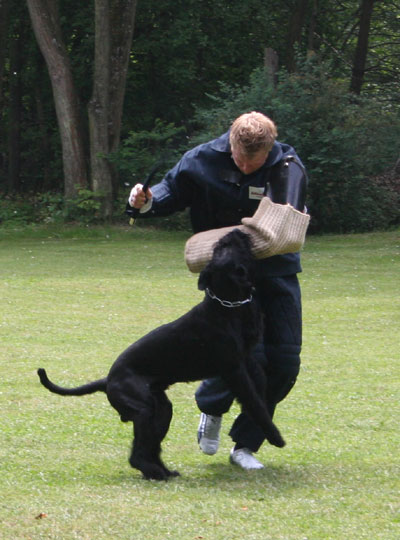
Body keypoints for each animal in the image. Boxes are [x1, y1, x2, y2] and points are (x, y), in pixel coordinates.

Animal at [38, 230, 284, 478]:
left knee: (150, 447)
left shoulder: (246, 359)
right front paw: (275, 436)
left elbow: (259, 388)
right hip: (144, 410)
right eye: (224, 247)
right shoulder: (234, 370)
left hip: (162, 410)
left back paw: (162, 471)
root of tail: (108, 380)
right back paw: (156, 473)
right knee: (138, 453)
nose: (236, 232)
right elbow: (254, 403)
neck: (227, 305)